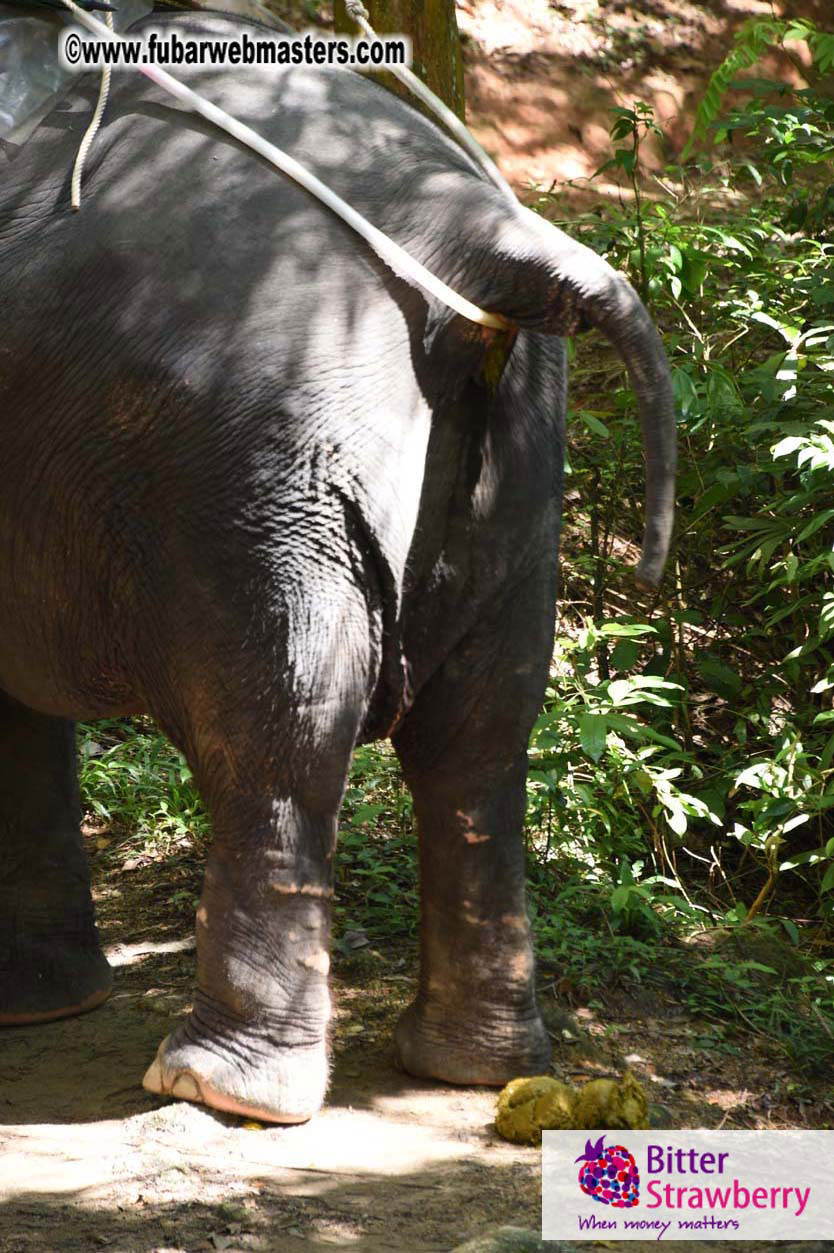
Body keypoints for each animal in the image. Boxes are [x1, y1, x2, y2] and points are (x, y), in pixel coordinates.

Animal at [0, 8, 675, 1123]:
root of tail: (481, 240)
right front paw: (45, 1007)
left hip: (256, 475)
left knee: (278, 737)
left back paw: (221, 1086)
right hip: (521, 468)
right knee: (482, 743)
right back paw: (477, 1064)